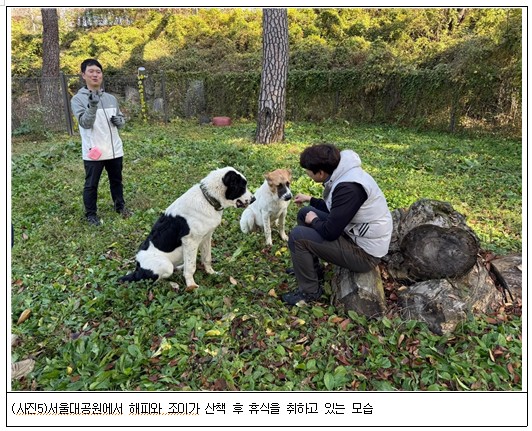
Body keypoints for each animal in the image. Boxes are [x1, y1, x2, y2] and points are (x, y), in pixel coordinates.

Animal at [120, 167, 254, 288]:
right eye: (242, 187)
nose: (254, 199)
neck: (207, 199)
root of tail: (138, 267)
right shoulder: (190, 242)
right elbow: (191, 267)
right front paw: (191, 285)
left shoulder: (206, 237)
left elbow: (207, 258)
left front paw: (211, 273)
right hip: (165, 266)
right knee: (155, 280)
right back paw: (174, 283)